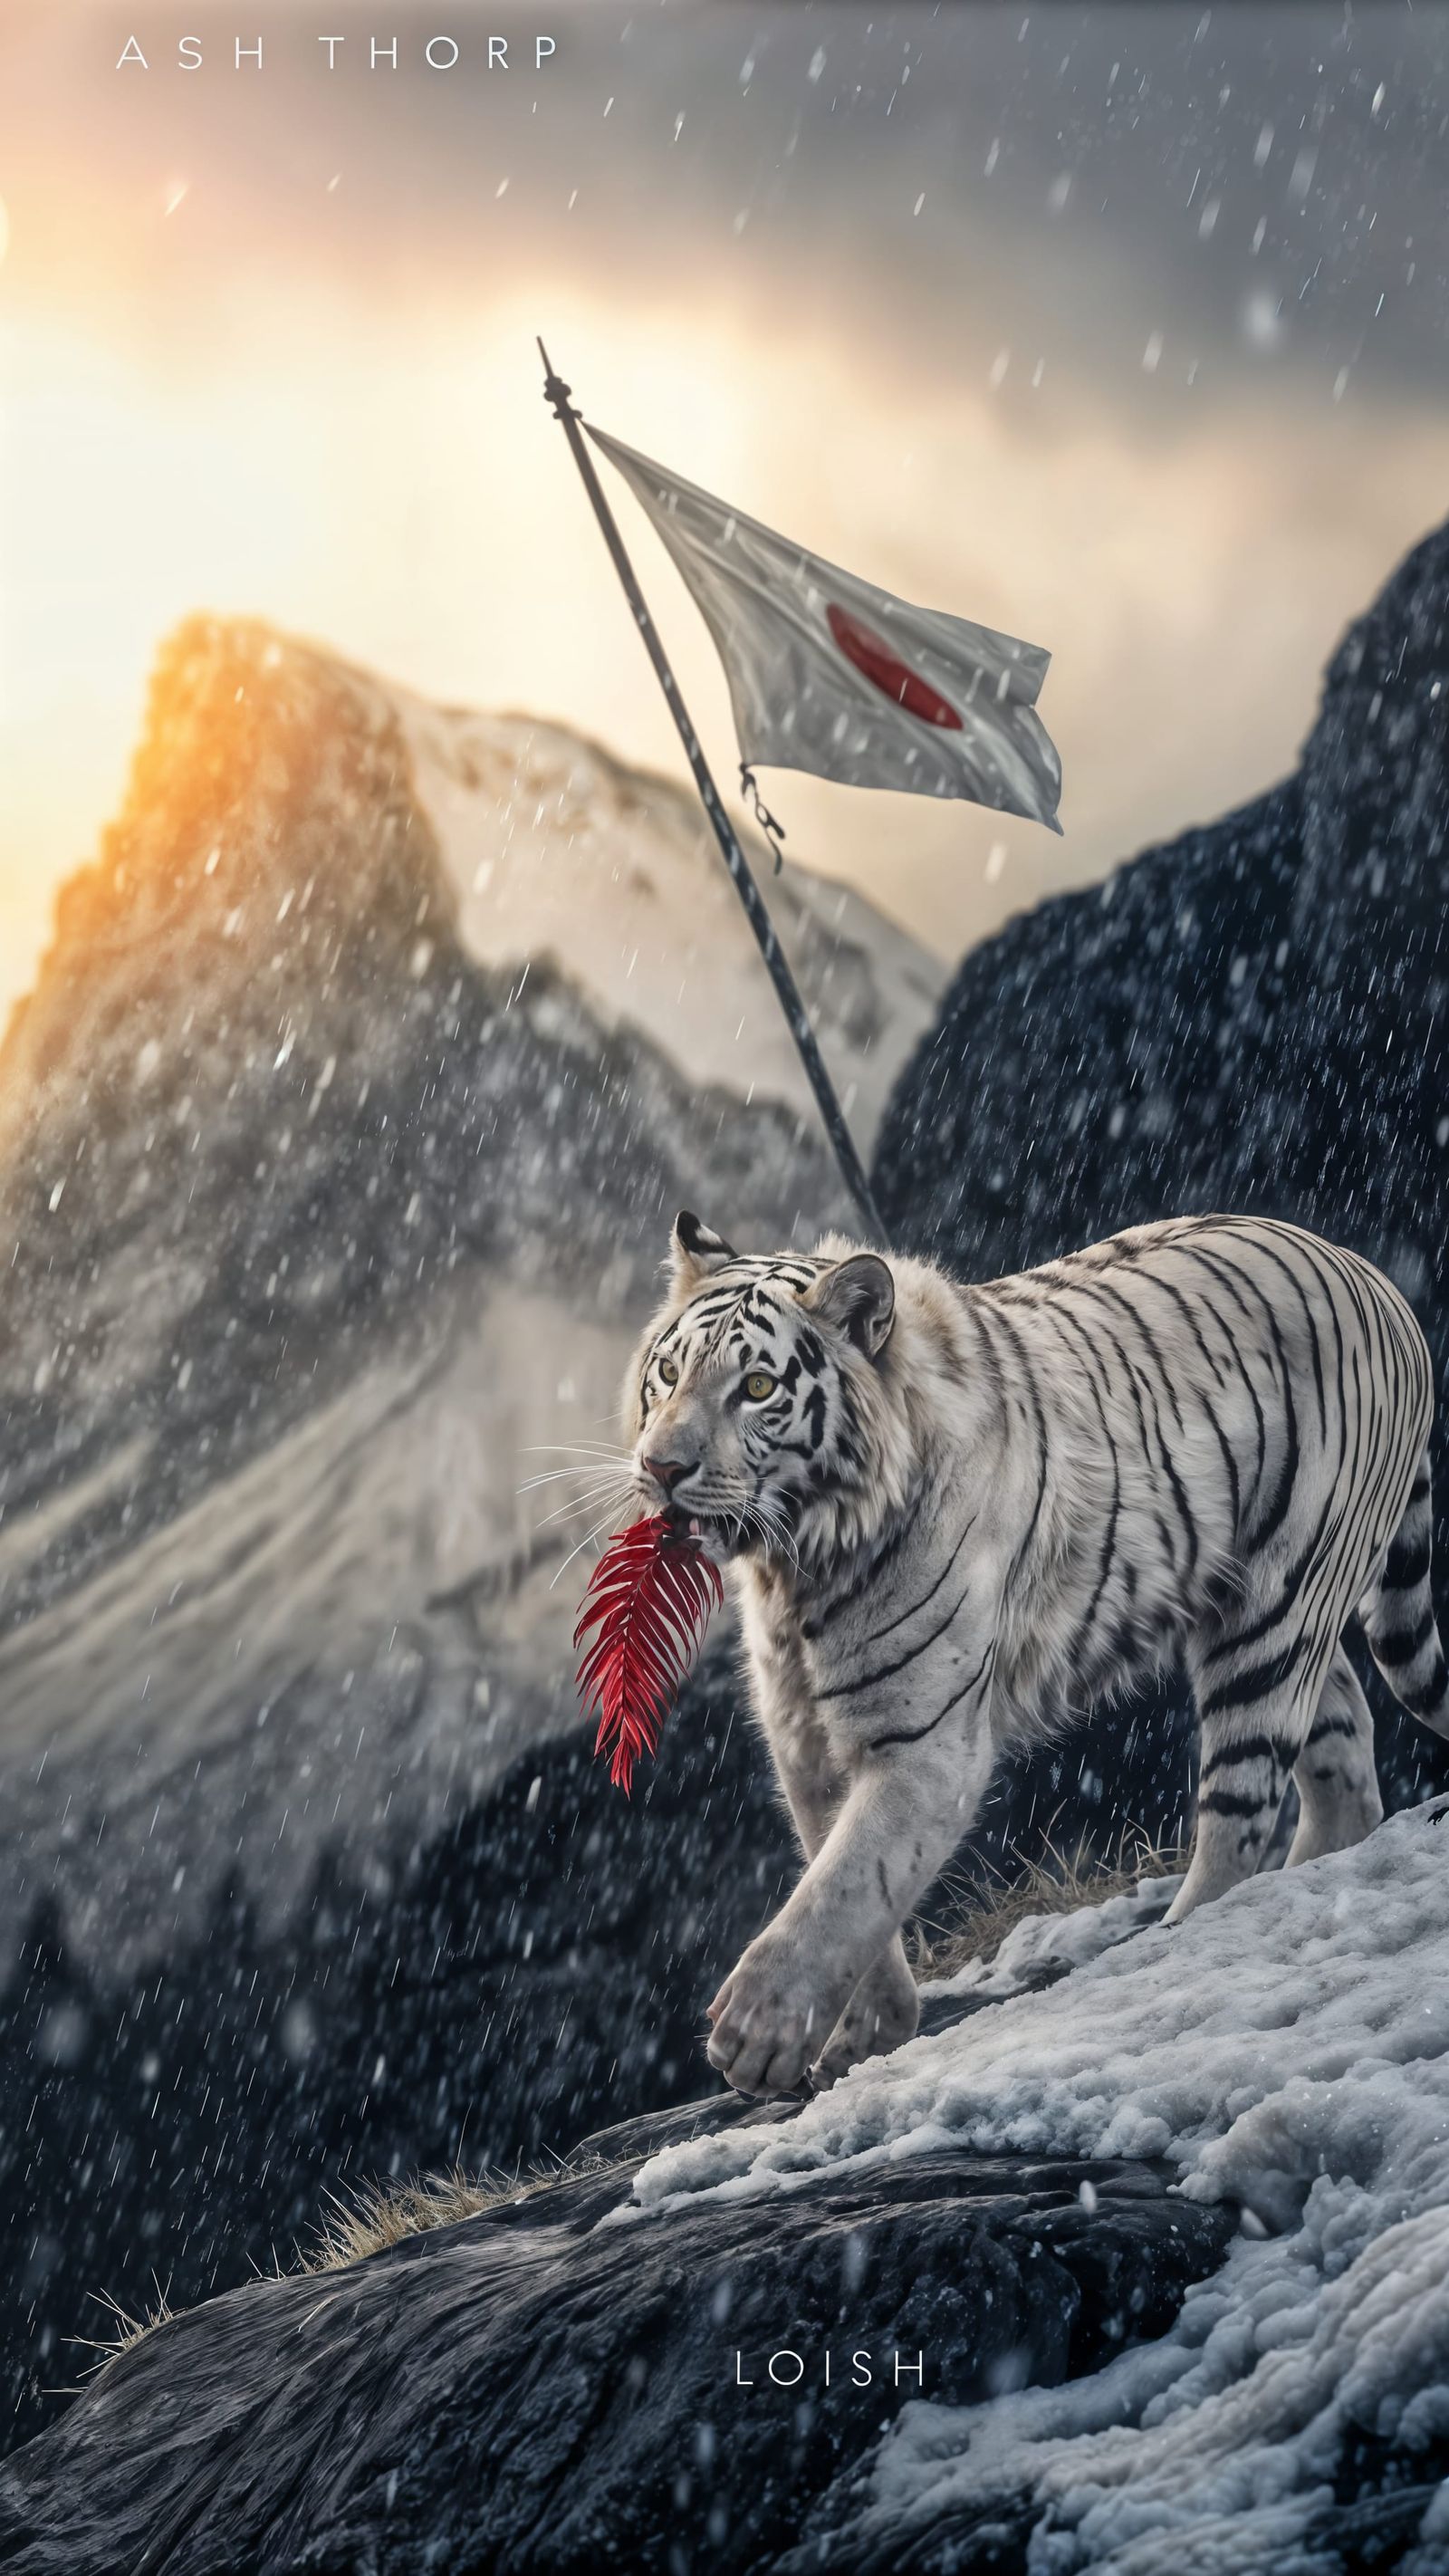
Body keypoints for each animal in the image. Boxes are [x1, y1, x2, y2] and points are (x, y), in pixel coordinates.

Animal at [624, 1207, 1449, 2100]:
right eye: (667, 1373)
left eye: (758, 1389)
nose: (661, 1467)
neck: (799, 1563)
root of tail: (1373, 1276)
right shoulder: (802, 1734)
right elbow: (840, 1877)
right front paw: (864, 2035)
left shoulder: (925, 1743)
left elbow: (844, 1885)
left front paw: (755, 2033)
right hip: (1267, 1609)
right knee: (1342, 1753)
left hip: (1272, 1614)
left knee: (1243, 1809)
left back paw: (1178, 1943)